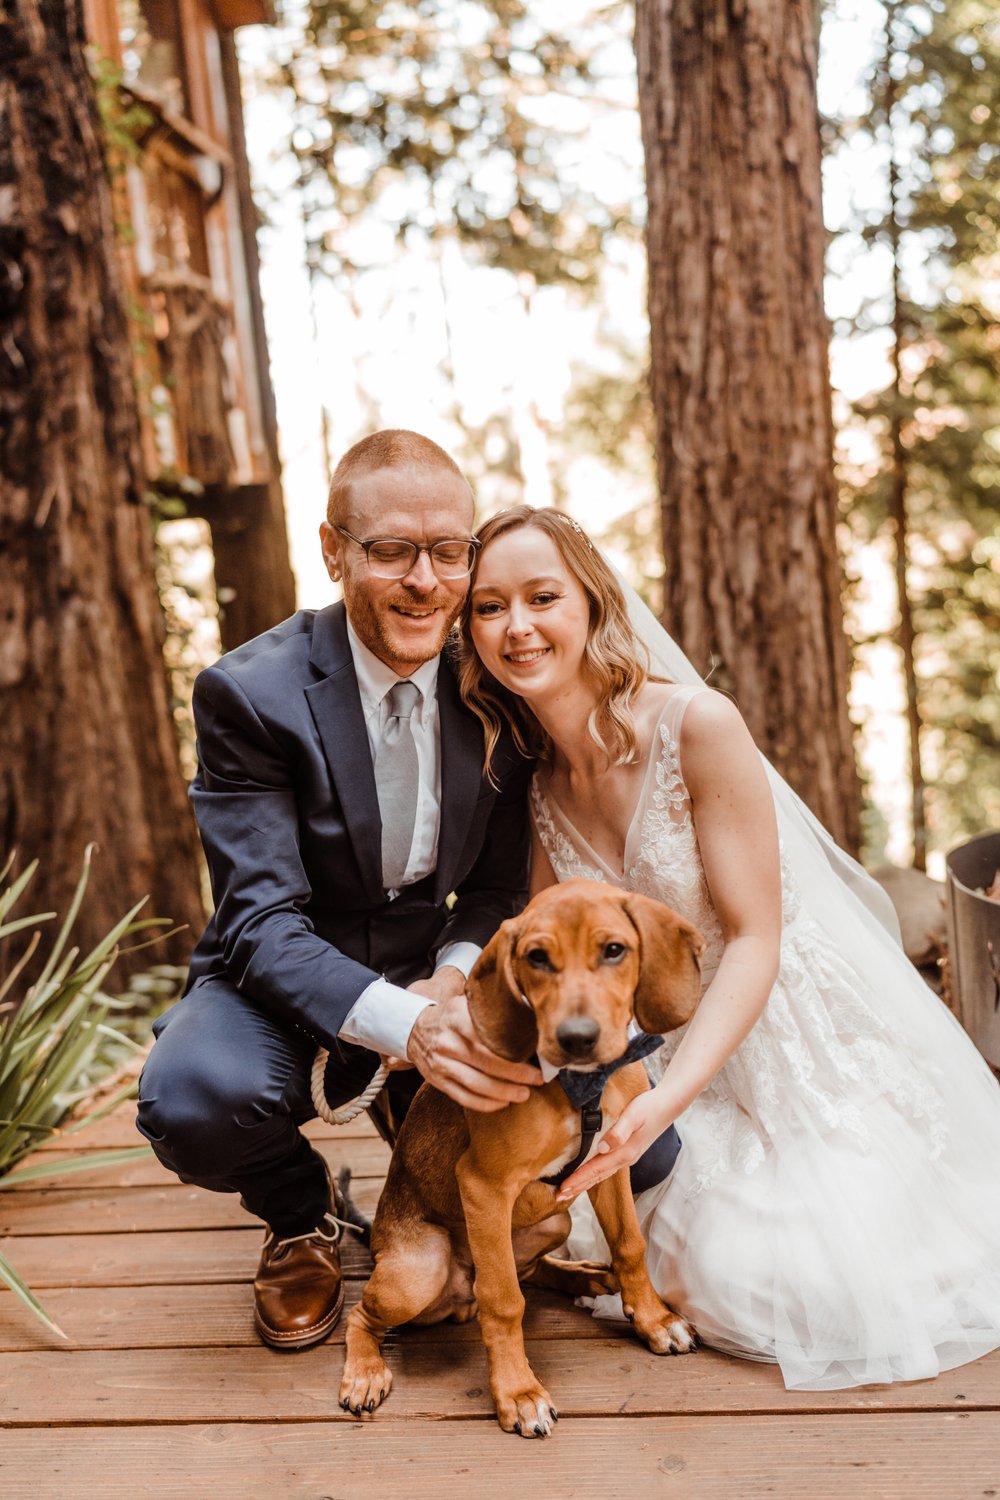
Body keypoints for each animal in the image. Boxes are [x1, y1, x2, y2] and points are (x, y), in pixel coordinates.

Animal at [340, 876, 707, 1440]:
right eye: (537, 958)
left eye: (614, 950)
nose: (576, 1038)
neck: (580, 1086)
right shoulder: (484, 1184)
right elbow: (504, 1300)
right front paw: (518, 1392)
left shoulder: (612, 1159)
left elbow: (630, 1244)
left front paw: (653, 1319)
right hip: (418, 1270)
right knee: (364, 1315)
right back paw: (364, 1372)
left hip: (553, 1220)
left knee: (533, 1270)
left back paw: (586, 1274)